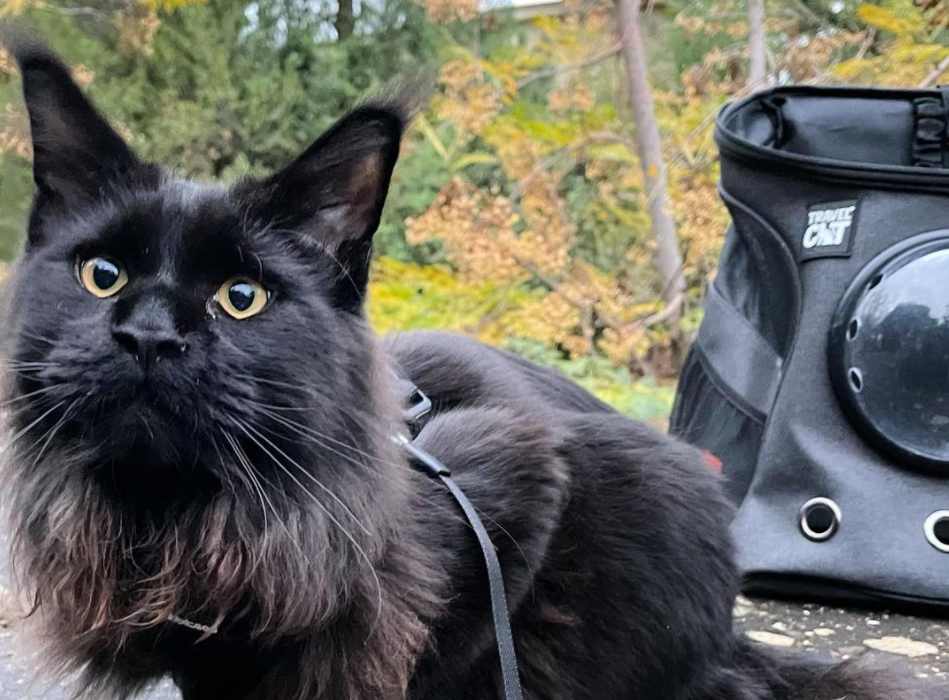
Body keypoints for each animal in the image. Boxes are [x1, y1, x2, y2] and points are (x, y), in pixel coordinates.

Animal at [0, 31, 936, 700]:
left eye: (241, 297)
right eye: (101, 276)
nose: (149, 337)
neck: (181, 515)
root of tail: (732, 641)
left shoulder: (516, 481)